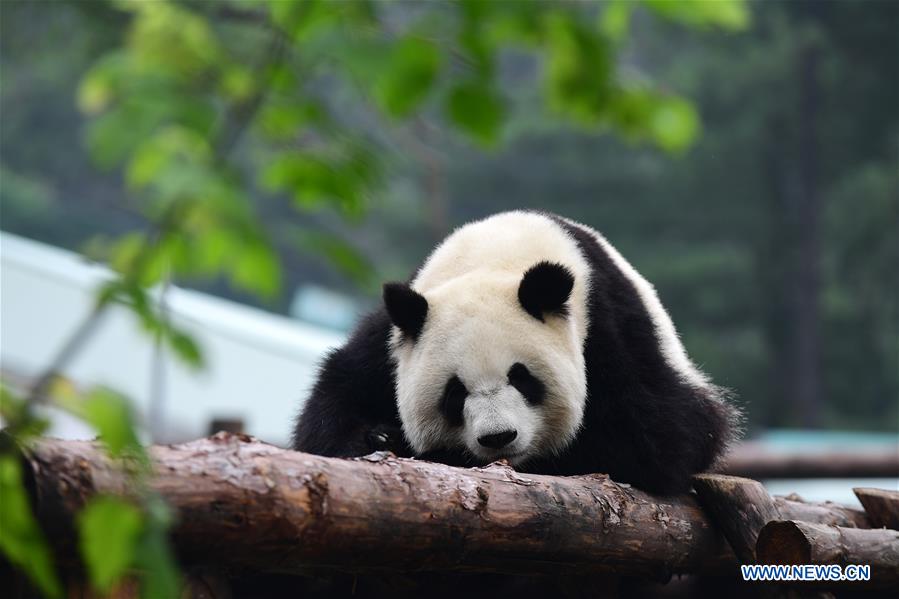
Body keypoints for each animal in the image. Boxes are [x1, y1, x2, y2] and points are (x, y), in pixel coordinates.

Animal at [294, 213, 740, 494]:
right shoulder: (393, 335)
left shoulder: (609, 330)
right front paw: (380, 436)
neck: (496, 257)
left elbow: (655, 435)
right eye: (455, 393)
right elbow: (334, 401)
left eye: (522, 378)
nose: (499, 437)